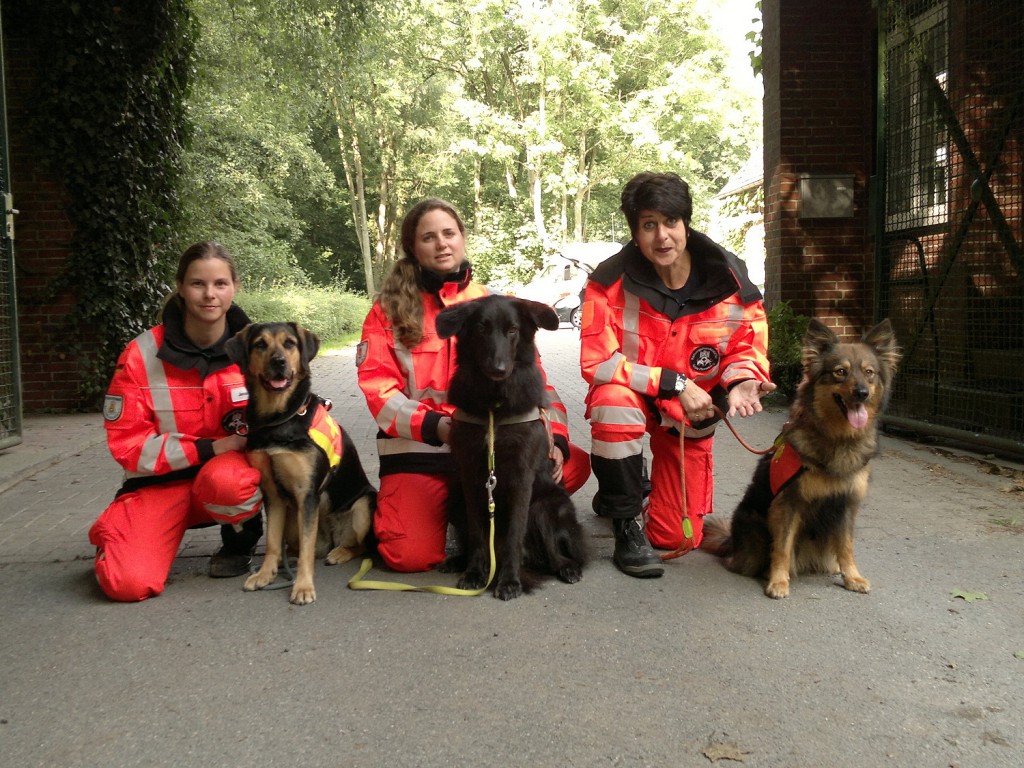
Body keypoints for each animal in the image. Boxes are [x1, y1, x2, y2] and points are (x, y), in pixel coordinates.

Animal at [226, 321, 378, 606]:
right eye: (260, 344)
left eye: (290, 343)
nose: (278, 362)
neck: (278, 420)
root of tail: (331, 537)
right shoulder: (273, 494)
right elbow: (273, 542)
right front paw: (265, 574)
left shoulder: (307, 493)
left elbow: (307, 549)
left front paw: (303, 587)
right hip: (291, 521)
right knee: (297, 546)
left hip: (364, 505)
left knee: (358, 545)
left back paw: (340, 552)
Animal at [434, 294, 589, 602]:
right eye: (481, 328)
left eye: (513, 330)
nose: (498, 369)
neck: (494, 404)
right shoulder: (471, 479)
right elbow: (477, 534)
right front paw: (474, 573)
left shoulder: (521, 478)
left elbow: (515, 536)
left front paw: (509, 581)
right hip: (456, 501)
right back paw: (458, 561)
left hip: (545, 507)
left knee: (557, 555)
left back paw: (567, 568)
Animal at [700, 319, 901, 602]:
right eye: (840, 372)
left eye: (869, 372)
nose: (861, 393)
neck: (837, 439)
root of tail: (731, 541)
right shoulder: (788, 503)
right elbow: (783, 547)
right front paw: (778, 582)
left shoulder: (846, 504)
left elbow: (846, 546)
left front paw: (852, 577)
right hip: (753, 533)